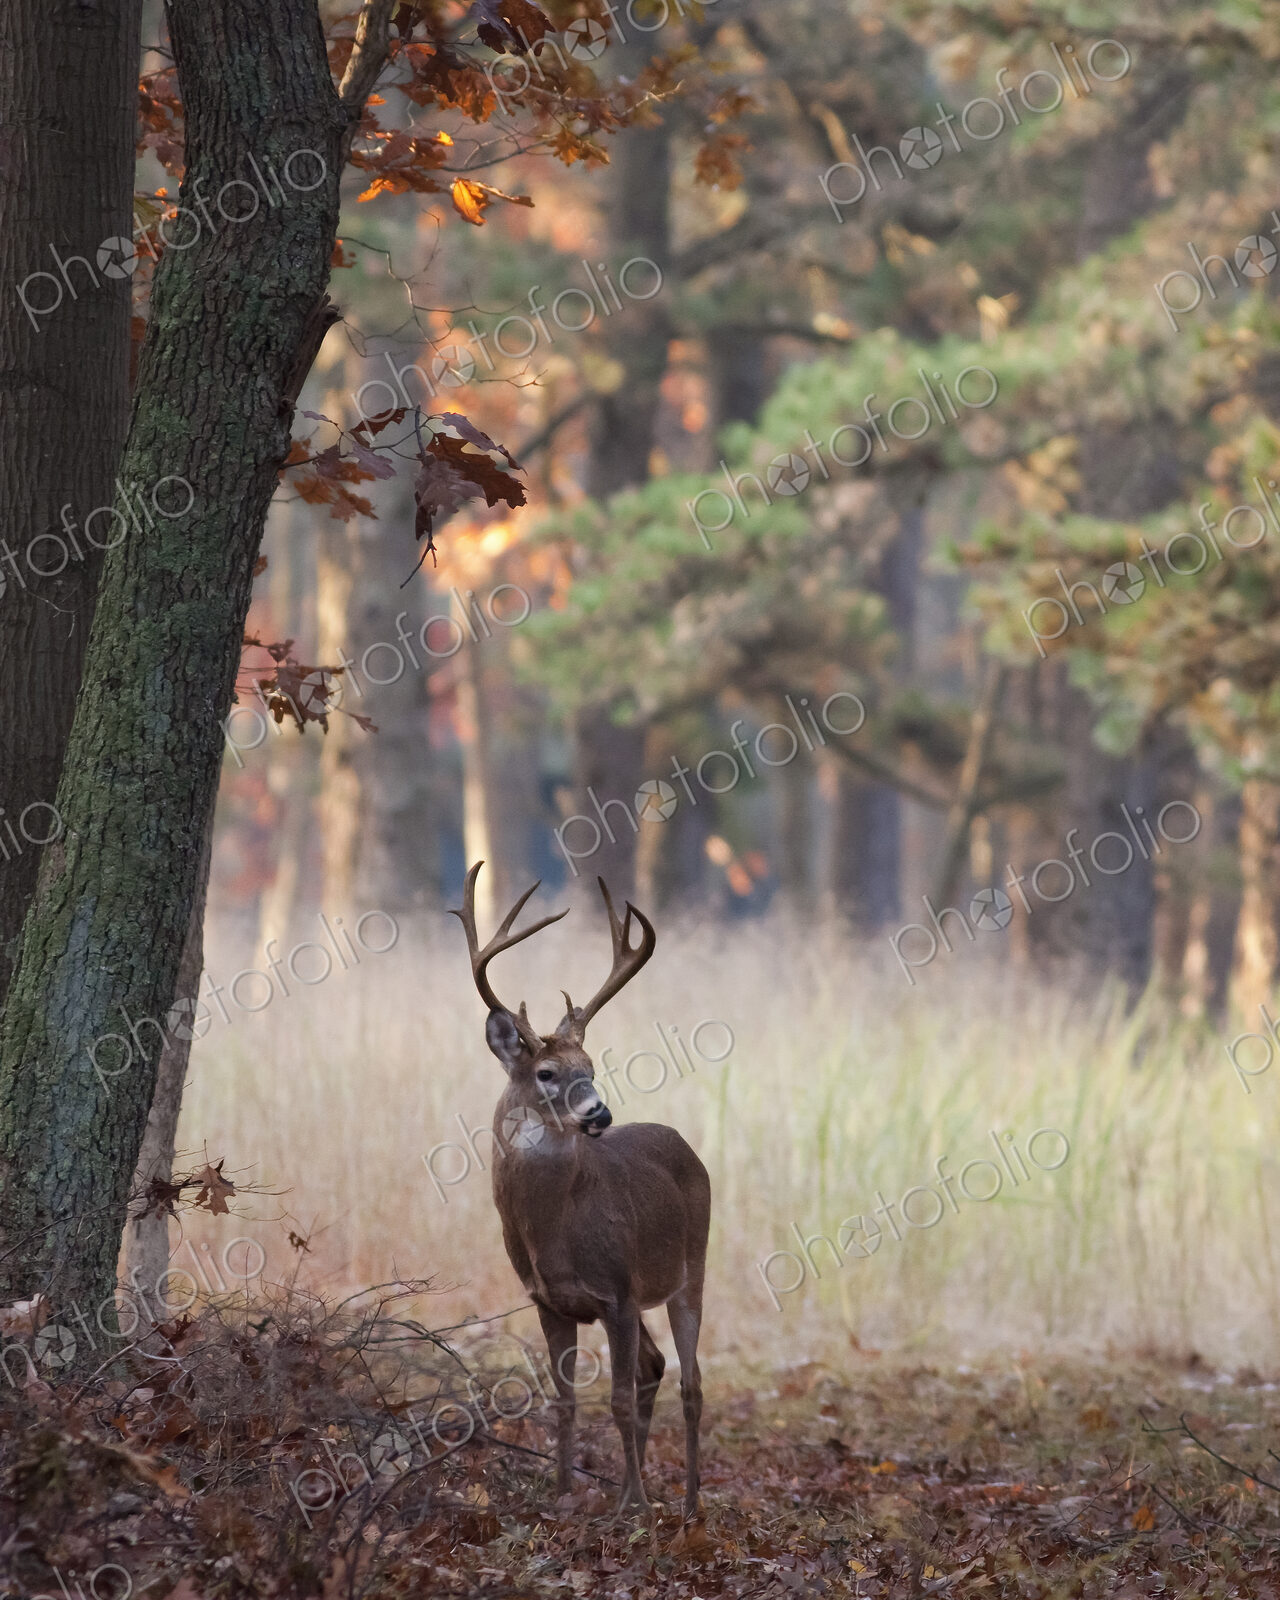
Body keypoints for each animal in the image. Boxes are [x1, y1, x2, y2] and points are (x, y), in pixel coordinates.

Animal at [451, 861, 711, 1517]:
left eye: (591, 1069)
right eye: (547, 1073)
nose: (601, 1114)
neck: (554, 1233)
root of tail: (684, 1143)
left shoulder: (617, 1292)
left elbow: (614, 1399)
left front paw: (634, 1506)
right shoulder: (550, 1301)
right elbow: (564, 1399)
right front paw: (564, 1493)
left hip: (690, 1266)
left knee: (691, 1381)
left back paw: (689, 1501)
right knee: (655, 1365)